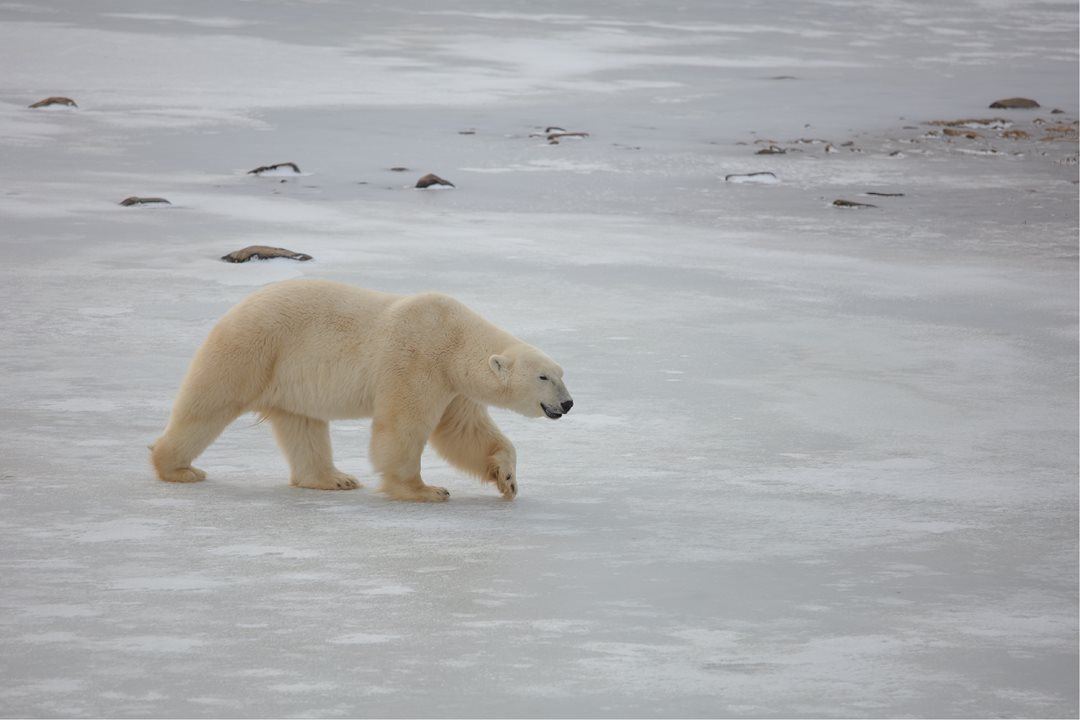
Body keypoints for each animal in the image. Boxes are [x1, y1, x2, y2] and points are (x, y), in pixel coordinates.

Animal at [154, 278, 574, 500]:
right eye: (544, 378)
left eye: (561, 373)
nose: (568, 403)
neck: (453, 337)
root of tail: (236, 307)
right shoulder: (417, 360)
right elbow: (404, 426)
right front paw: (424, 489)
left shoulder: (452, 386)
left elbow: (465, 432)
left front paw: (508, 479)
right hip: (253, 349)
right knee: (208, 404)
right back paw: (177, 468)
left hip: (290, 377)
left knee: (303, 425)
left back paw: (334, 478)